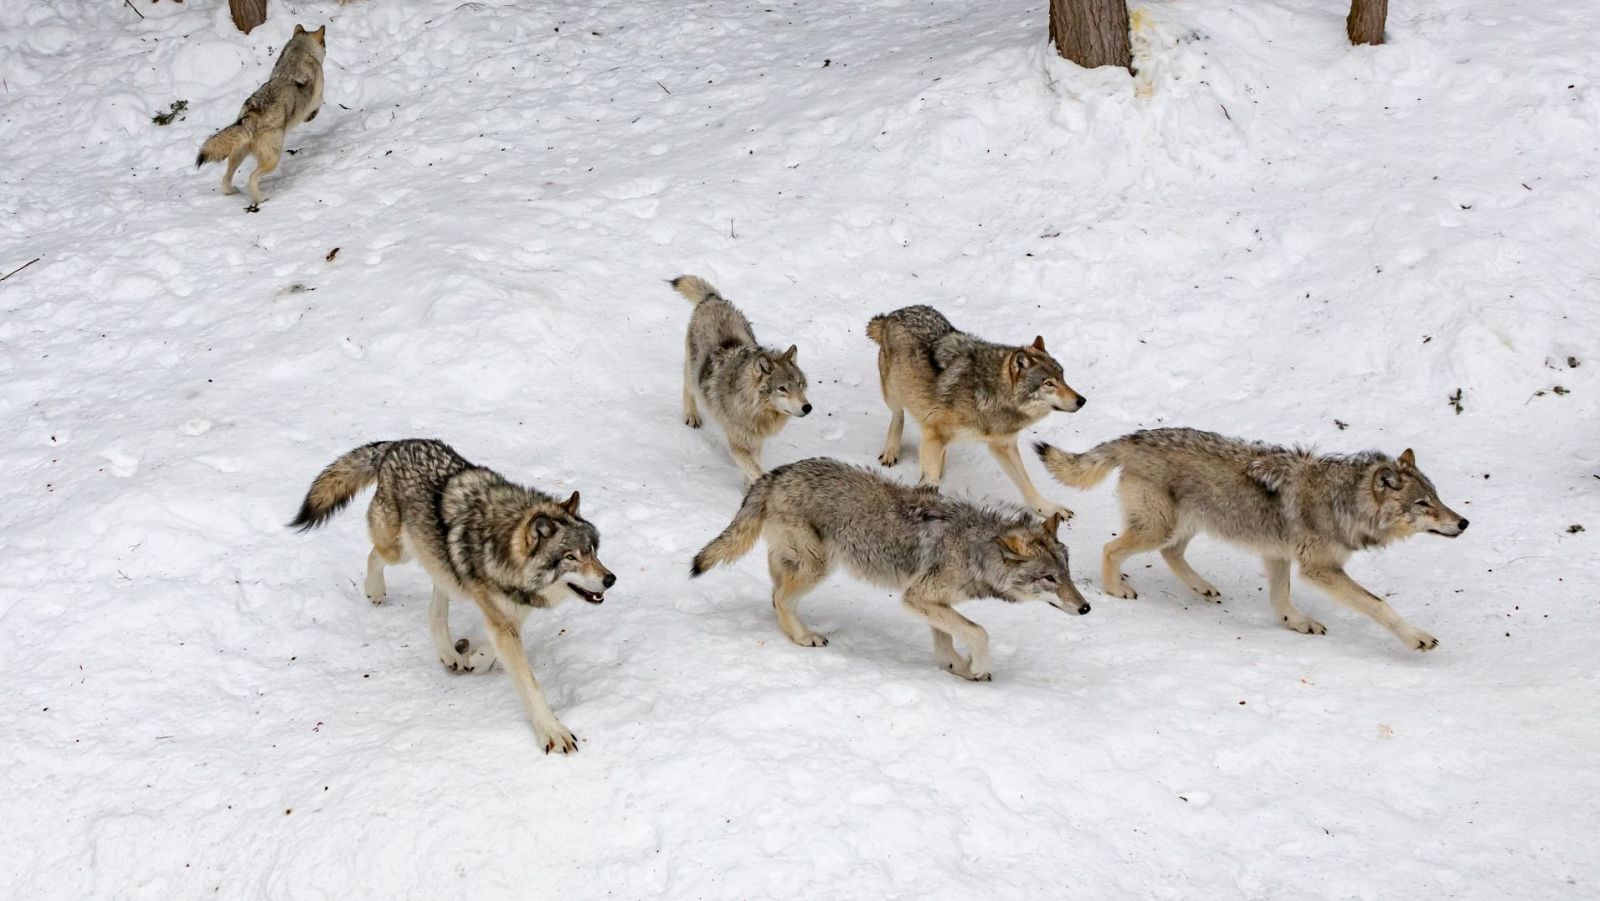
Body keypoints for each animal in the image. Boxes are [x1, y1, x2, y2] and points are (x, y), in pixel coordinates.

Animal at [672, 275, 812, 486]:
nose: (807, 407)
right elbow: (756, 469)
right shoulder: (739, 446)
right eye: (782, 389)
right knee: (687, 386)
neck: (754, 409)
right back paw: (691, 415)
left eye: (800, 385)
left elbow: (752, 469)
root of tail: (713, 300)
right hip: (694, 371)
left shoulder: (756, 442)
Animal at [688, 460, 1088, 681]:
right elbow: (980, 632)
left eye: (1068, 574)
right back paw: (804, 637)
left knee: (774, 594)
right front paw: (974, 666)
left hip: (802, 564)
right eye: (1049, 578)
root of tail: (776, 473)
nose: (1085, 608)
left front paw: (957, 668)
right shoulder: (918, 597)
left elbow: (948, 639)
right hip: (818, 567)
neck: (976, 549)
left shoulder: (930, 601)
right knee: (780, 598)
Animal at [864, 308, 1088, 518]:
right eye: (1049, 384)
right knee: (898, 416)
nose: (1082, 400)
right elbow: (930, 479)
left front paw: (1049, 509)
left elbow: (1027, 484)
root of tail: (894, 314)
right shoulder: (935, 434)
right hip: (893, 394)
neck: (989, 393)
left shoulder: (1004, 445)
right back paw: (891, 452)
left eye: (1063, 377)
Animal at [1030, 425, 1465, 652]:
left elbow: (1280, 598)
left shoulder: (1278, 555)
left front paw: (1296, 623)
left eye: (1438, 497)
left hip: (1186, 526)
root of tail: (1134, 437)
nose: (1463, 523)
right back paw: (1116, 589)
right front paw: (1417, 638)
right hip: (1159, 528)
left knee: (1171, 555)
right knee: (1111, 549)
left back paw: (1202, 587)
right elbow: (1378, 605)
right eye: (1424, 503)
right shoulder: (1319, 570)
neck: (1343, 502)